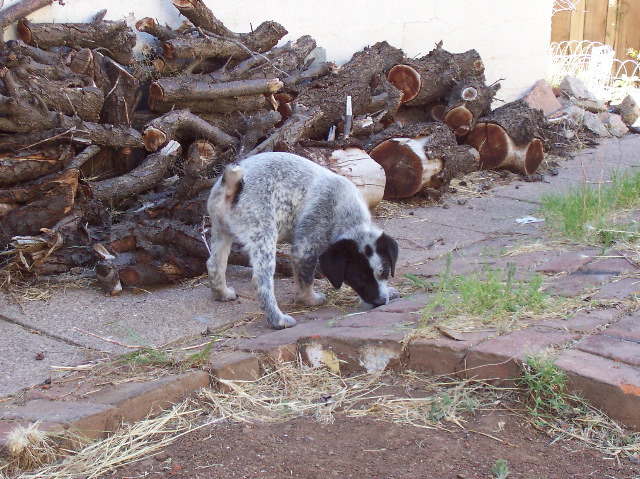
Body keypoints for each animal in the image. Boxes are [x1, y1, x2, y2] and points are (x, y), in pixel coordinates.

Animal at [205, 154, 398, 330]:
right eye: (358, 278)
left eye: (385, 272)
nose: (380, 302)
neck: (347, 216)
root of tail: (233, 186)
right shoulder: (305, 249)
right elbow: (306, 280)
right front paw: (310, 299)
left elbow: (299, 278)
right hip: (264, 237)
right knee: (262, 283)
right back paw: (278, 320)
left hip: (221, 232)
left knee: (214, 265)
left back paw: (222, 293)